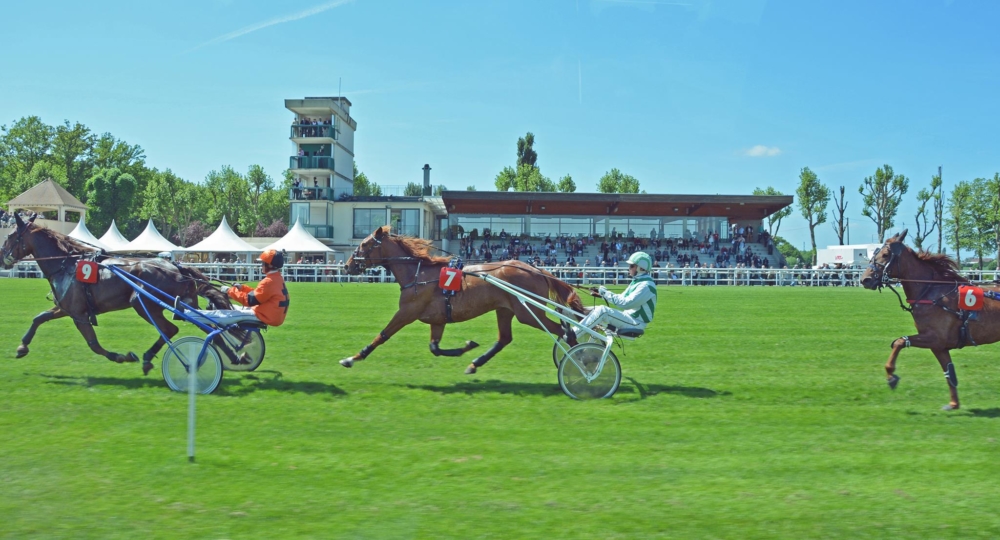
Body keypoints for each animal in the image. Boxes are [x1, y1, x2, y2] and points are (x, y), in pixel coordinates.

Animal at [340, 226, 584, 374]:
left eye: (364, 244)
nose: (347, 266)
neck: (419, 274)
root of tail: (535, 269)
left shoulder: (407, 312)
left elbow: (382, 336)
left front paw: (352, 358)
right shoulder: (437, 319)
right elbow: (435, 347)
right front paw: (467, 346)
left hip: (528, 312)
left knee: (564, 331)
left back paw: (582, 361)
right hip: (505, 309)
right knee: (505, 338)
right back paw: (474, 364)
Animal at [856, 228, 1000, 410]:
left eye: (885, 254)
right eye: (876, 252)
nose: (865, 279)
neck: (932, 292)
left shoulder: (934, 338)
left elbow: (900, 342)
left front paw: (891, 376)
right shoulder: (939, 346)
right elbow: (949, 372)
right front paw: (953, 404)